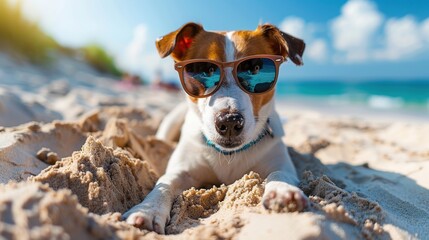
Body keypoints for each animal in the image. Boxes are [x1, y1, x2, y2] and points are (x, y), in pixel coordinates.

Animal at [122, 23, 306, 234]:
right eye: (205, 70)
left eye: (255, 68)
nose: (230, 122)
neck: (229, 156)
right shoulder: (183, 169)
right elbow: (165, 182)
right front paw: (148, 210)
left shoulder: (280, 162)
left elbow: (280, 173)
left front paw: (283, 191)